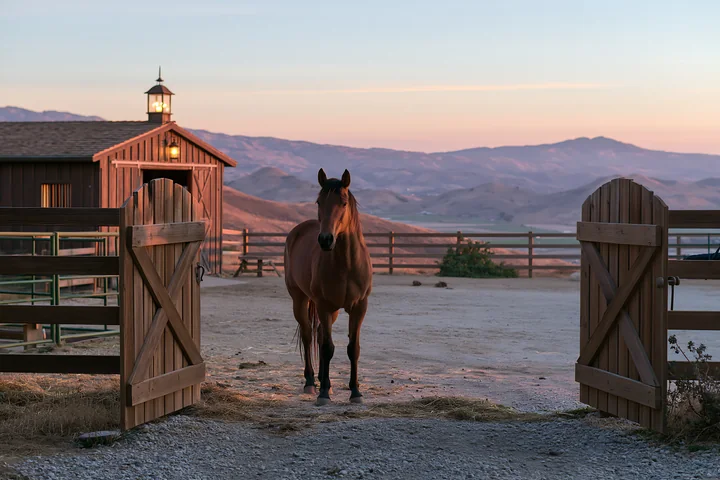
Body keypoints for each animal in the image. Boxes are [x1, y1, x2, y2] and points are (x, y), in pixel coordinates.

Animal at [284, 168, 373, 406]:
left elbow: (353, 349)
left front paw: (355, 391)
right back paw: (311, 382)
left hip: (332, 311)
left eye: (343, 202)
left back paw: (327, 382)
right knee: (309, 336)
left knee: (320, 334)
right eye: (318, 202)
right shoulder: (323, 305)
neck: (347, 265)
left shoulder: (359, 307)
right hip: (300, 300)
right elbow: (326, 347)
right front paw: (323, 393)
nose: (325, 239)